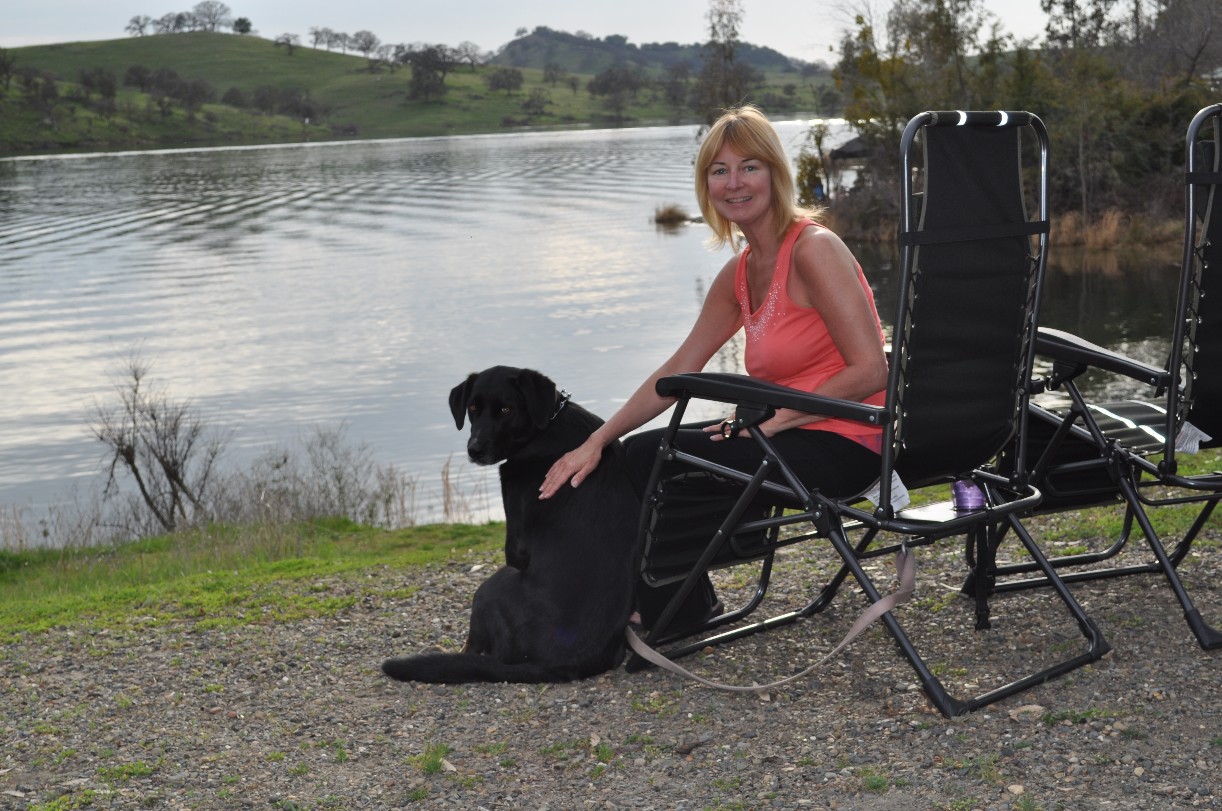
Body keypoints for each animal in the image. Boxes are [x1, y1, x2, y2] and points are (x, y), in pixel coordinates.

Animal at [381, 366, 640, 683]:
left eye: (505, 409)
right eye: (472, 408)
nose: (474, 450)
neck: (546, 426)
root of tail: (554, 664)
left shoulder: (515, 542)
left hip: (491, 586)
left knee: (474, 648)